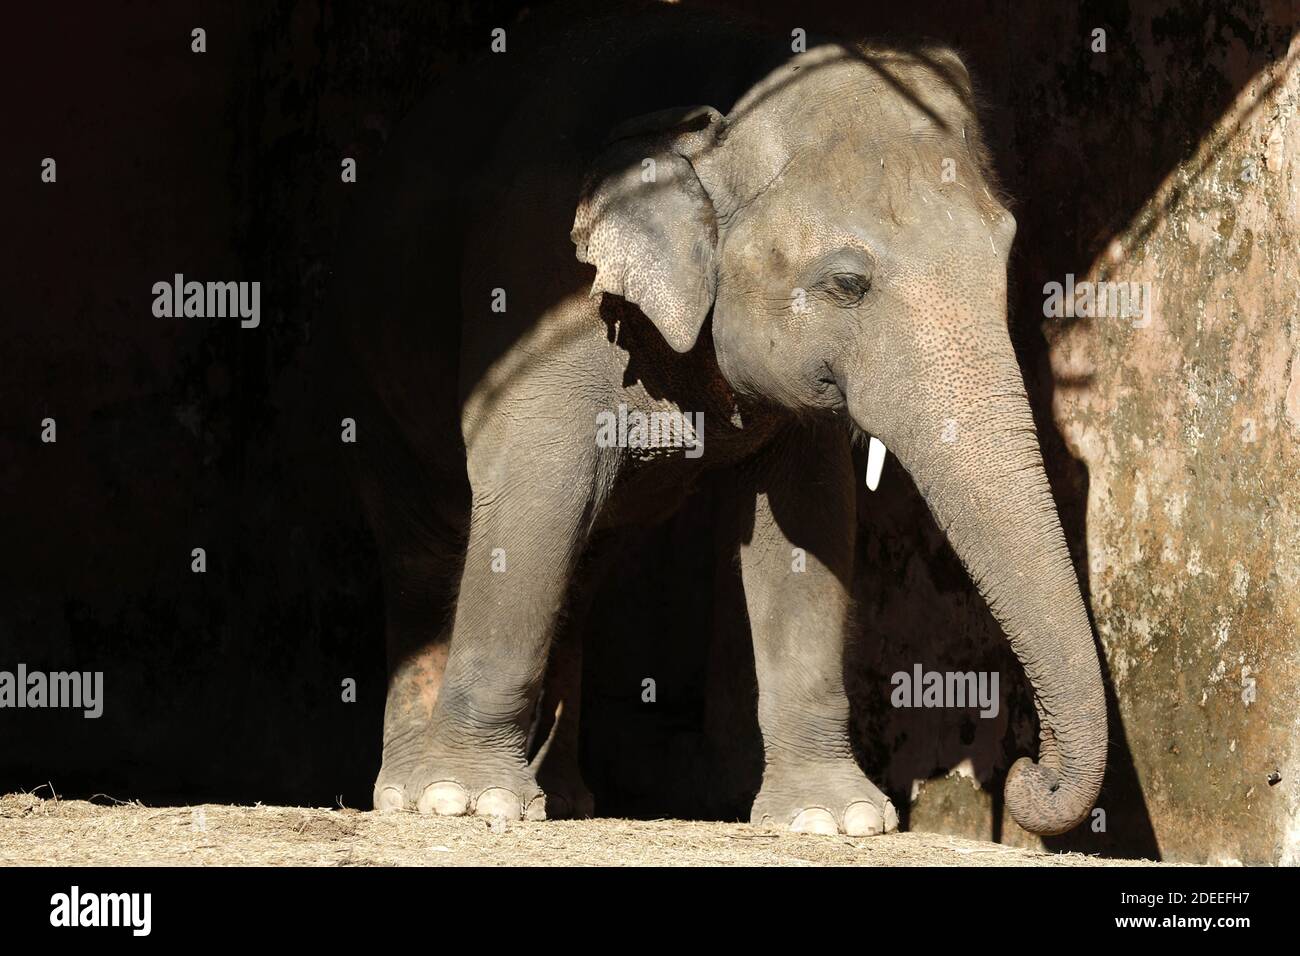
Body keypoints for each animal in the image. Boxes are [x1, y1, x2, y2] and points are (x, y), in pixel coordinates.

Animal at [332, 1, 1107, 837]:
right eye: (847, 283)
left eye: (1005, 254)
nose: (1028, 777)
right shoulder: (538, 290)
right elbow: (537, 490)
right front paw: (468, 803)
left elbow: (808, 522)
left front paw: (832, 820)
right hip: (371, 374)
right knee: (424, 549)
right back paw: (409, 793)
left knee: (585, 559)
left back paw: (563, 800)